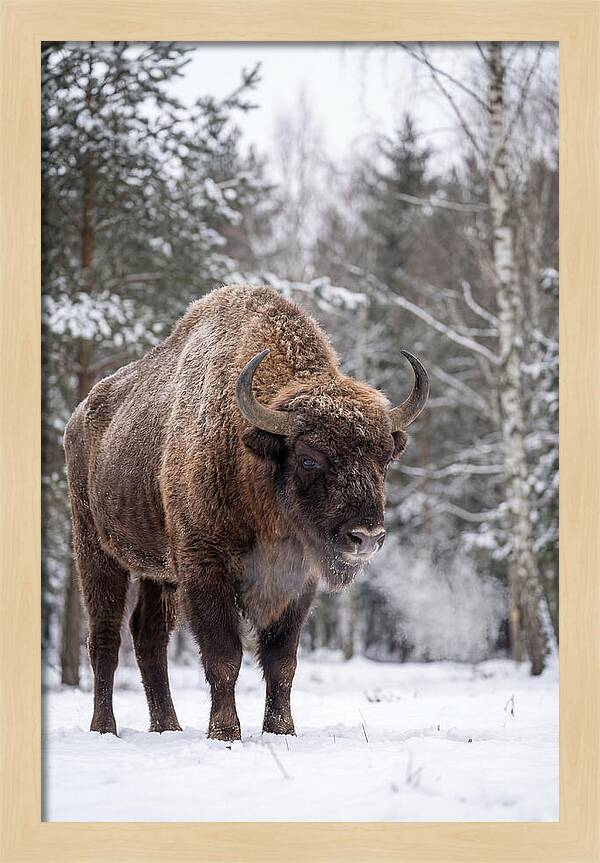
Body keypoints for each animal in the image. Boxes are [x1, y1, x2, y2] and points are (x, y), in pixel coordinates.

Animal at [64, 284, 428, 740]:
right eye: (308, 458)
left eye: (384, 459)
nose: (366, 537)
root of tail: (79, 418)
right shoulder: (204, 570)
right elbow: (224, 657)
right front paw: (224, 733)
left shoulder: (297, 582)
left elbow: (281, 661)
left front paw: (281, 731)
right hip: (96, 550)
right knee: (105, 638)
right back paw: (105, 728)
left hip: (157, 572)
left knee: (148, 637)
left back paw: (167, 727)